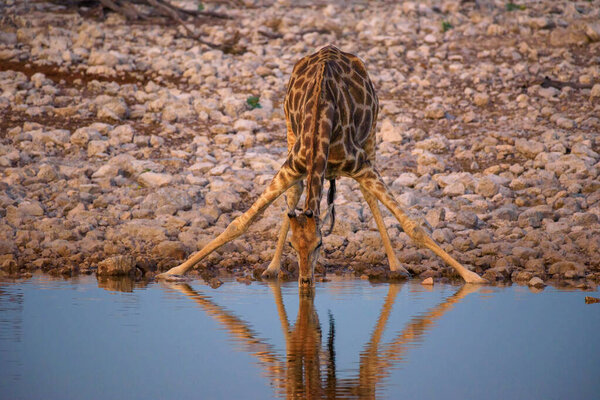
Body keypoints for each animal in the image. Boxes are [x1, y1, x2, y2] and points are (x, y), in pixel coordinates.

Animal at [156, 45, 488, 286]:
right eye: (294, 246)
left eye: (319, 245)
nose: (305, 282)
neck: (321, 126)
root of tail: (332, 48)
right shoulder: (292, 165)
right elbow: (240, 223)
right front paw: (172, 272)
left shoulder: (361, 165)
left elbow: (413, 226)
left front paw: (473, 277)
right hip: (288, 131)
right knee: (295, 195)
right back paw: (272, 268)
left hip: (372, 135)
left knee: (369, 197)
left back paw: (396, 265)